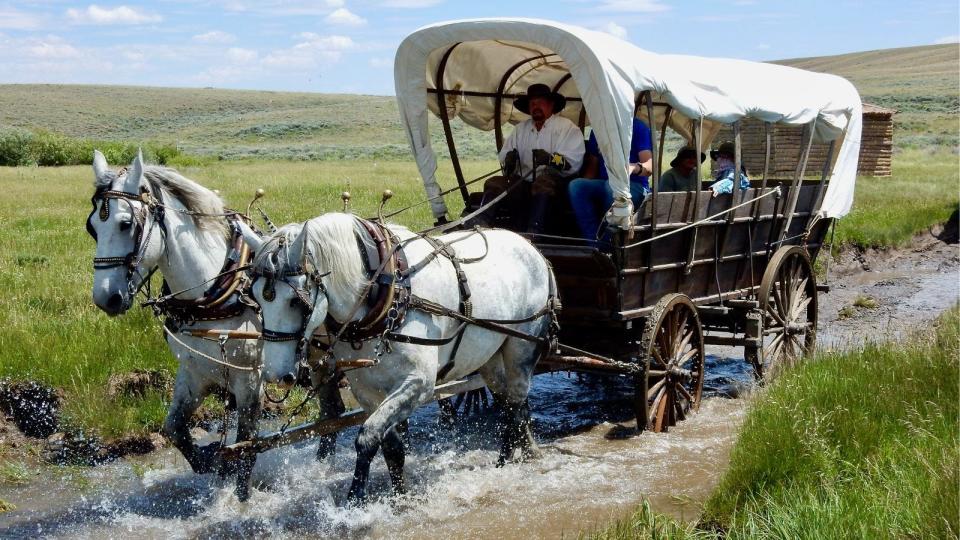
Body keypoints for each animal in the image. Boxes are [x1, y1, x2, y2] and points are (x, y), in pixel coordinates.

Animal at [87, 150, 270, 500]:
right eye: (92, 228)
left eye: (126, 223)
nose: (106, 298)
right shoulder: (194, 372)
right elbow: (175, 428)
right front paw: (211, 460)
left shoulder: (250, 381)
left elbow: (246, 447)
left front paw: (240, 501)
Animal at [236, 213, 560, 504]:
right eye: (256, 297)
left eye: (295, 300)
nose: (277, 376)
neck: (386, 295)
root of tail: (531, 247)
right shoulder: (366, 390)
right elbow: (391, 446)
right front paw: (401, 496)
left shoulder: (418, 384)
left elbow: (367, 438)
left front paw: (355, 500)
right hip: (491, 357)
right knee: (512, 403)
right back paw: (525, 450)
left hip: (521, 347)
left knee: (514, 405)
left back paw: (504, 463)